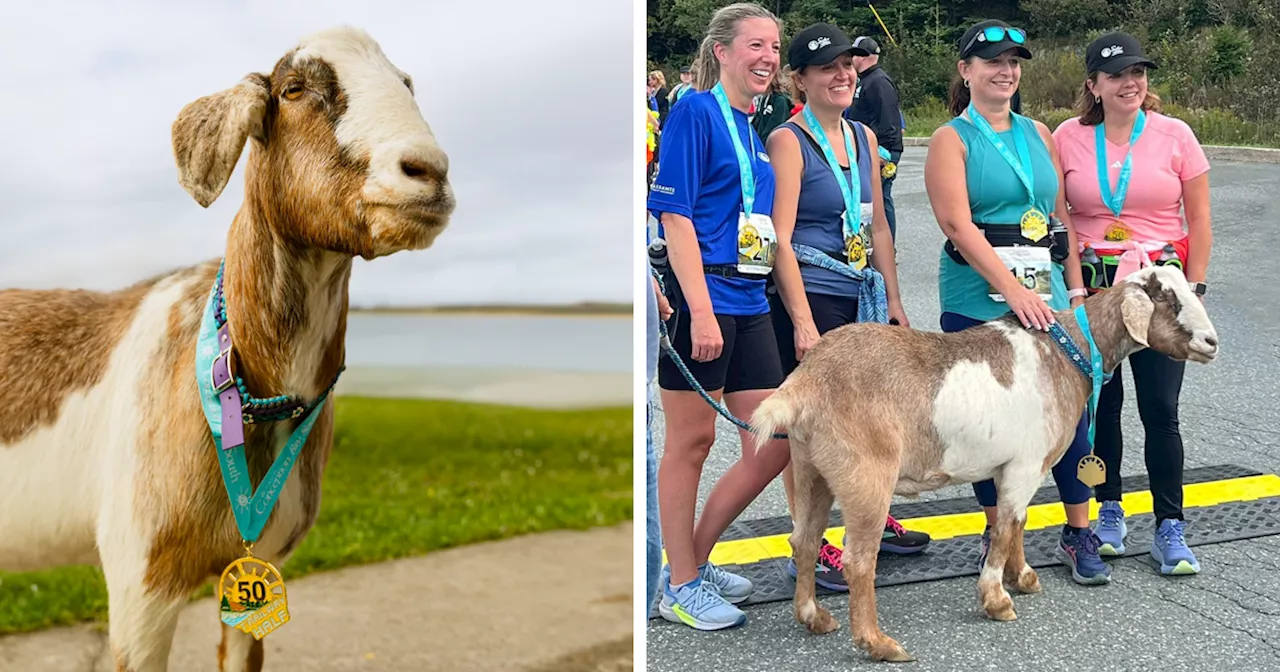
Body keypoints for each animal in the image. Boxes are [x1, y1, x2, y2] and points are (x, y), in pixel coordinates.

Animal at [747, 263, 1218, 660]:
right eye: (1168, 300)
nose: (1212, 343)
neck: (1069, 353)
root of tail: (805, 383)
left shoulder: (1016, 467)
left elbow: (1018, 523)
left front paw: (1022, 577)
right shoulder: (1026, 464)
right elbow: (1006, 527)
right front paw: (997, 599)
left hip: (812, 469)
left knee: (804, 540)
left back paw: (814, 617)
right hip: (866, 473)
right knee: (858, 560)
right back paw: (879, 643)